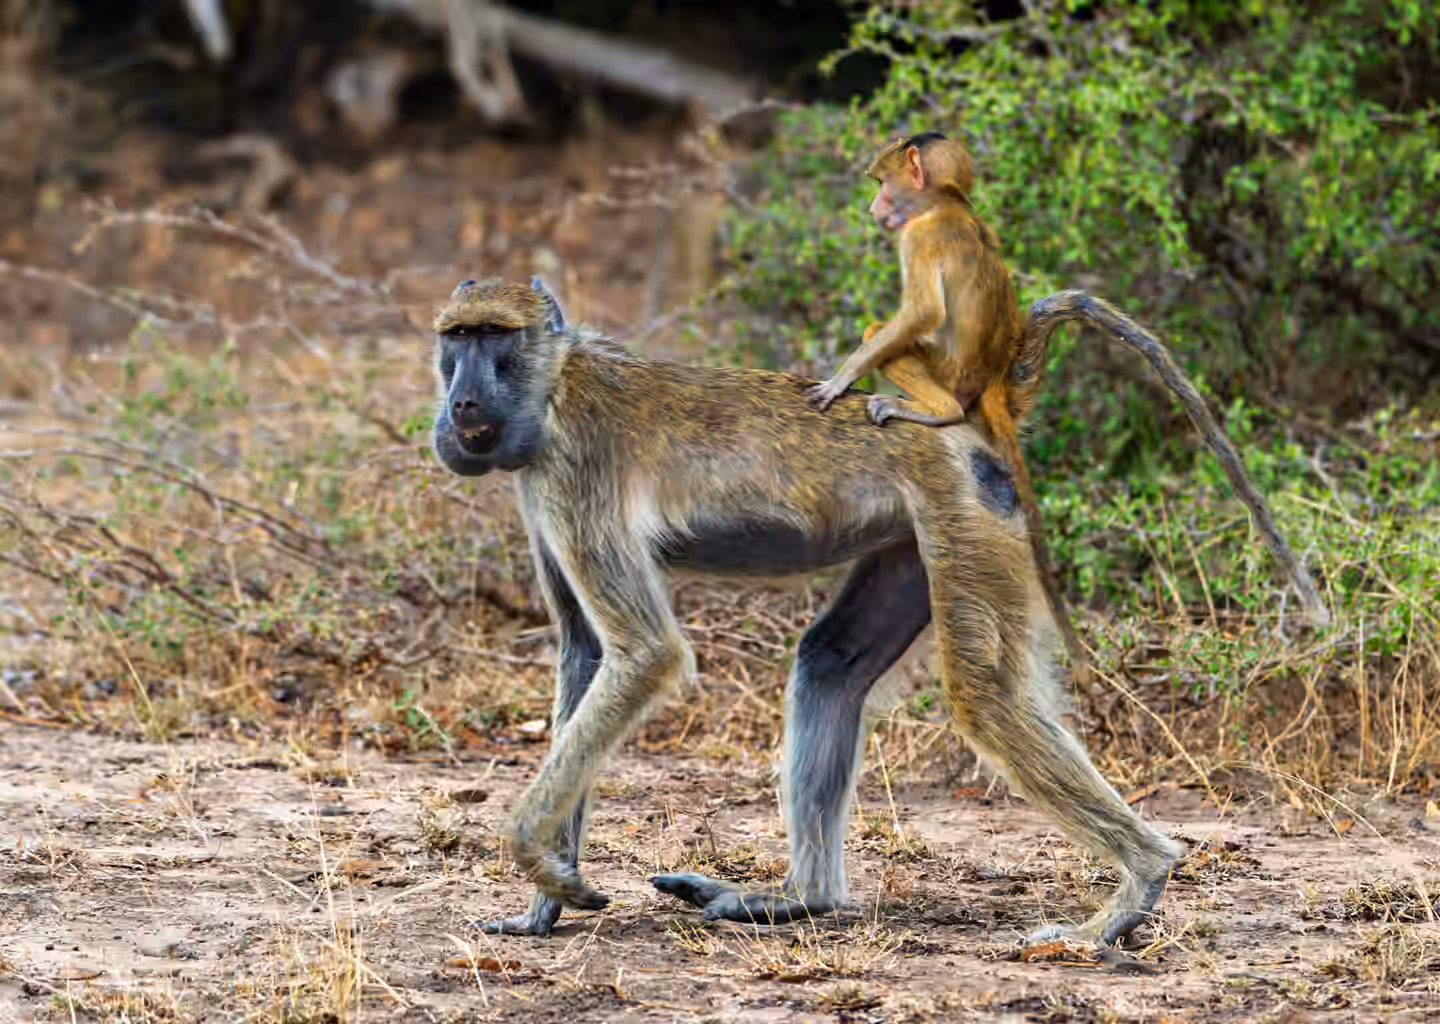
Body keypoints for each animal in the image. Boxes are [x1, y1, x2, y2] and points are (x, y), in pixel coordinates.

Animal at [429, 276, 1318, 951]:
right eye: (455, 337)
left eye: (494, 337)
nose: (461, 404)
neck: (556, 384)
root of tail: (968, 413)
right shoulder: (543, 491)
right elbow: (586, 656)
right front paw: (545, 903)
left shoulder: (573, 471)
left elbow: (645, 654)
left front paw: (531, 856)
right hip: (911, 542)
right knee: (831, 667)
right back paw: (800, 899)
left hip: (964, 514)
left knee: (985, 697)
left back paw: (1137, 887)